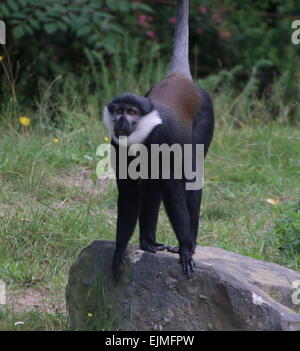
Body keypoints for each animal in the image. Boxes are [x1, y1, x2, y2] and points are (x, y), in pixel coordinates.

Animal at [103, 0, 213, 280]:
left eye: (132, 112)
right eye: (118, 110)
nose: (121, 121)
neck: (143, 134)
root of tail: (180, 78)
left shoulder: (163, 139)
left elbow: (174, 190)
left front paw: (185, 248)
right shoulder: (117, 145)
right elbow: (130, 193)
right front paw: (119, 250)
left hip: (205, 117)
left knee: (190, 177)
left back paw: (189, 243)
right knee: (152, 185)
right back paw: (148, 242)